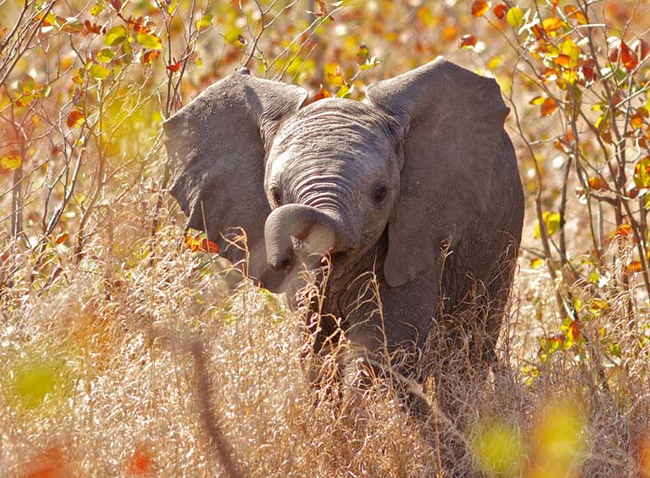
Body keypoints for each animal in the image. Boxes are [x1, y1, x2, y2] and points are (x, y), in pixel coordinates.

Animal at [165, 56, 524, 414]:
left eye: (381, 194)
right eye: (276, 195)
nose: (281, 259)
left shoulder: (418, 233)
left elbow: (389, 343)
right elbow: (314, 342)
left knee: (467, 345)